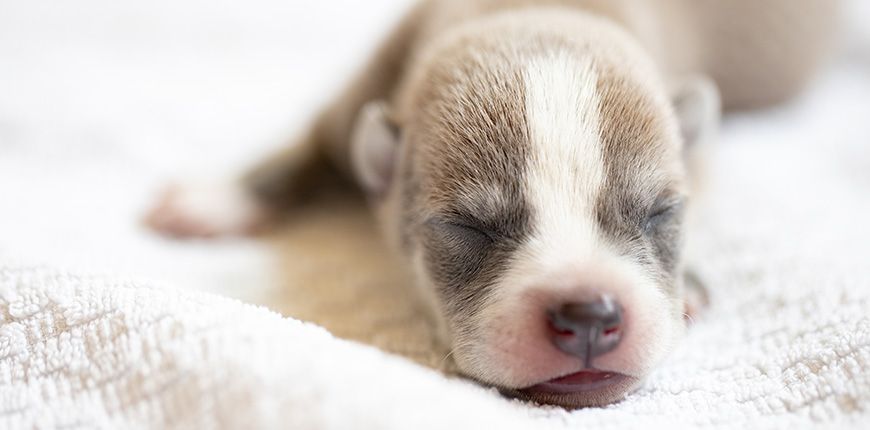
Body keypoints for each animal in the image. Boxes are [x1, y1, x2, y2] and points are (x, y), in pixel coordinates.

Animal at [148, 0, 836, 408]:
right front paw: (218, 197)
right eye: (467, 226)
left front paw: (689, 279)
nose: (589, 314)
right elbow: (310, 143)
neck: (531, 13)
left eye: (659, 213)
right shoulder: (366, 90)